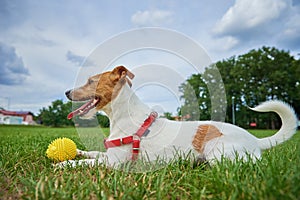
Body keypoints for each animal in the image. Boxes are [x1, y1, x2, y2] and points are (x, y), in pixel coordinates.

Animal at [61, 65, 298, 167]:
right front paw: (77, 151)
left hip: (217, 154)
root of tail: (255, 140)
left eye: (91, 81)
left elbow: (85, 163)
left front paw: (62, 165)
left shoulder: (113, 164)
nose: (66, 92)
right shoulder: (108, 155)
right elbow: (92, 153)